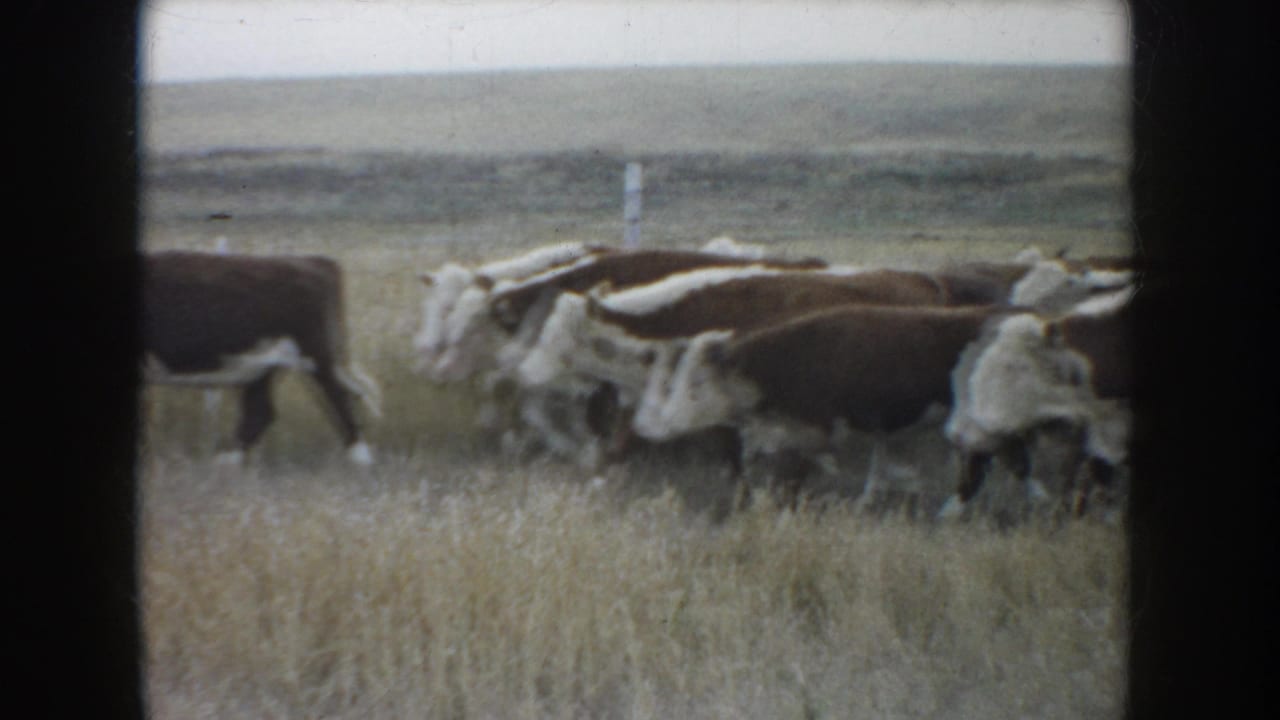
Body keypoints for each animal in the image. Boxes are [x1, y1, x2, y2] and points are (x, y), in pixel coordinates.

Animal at [142, 251, 382, 465]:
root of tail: (313, 261)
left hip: (314, 355)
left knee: (339, 397)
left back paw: (361, 458)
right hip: (263, 366)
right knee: (261, 412)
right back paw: (227, 460)